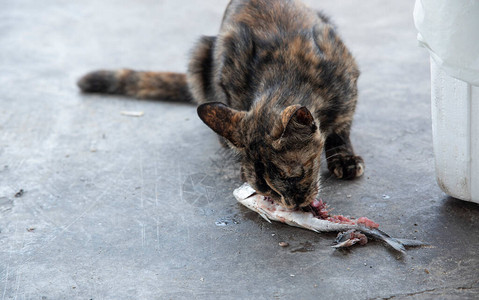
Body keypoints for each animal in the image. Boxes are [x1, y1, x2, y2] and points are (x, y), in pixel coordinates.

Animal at [78, 0, 364, 210]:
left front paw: (344, 158)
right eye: (265, 189)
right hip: (200, 55)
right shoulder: (228, 77)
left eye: (294, 176)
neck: (287, 74)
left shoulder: (347, 78)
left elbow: (341, 127)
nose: (293, 205)